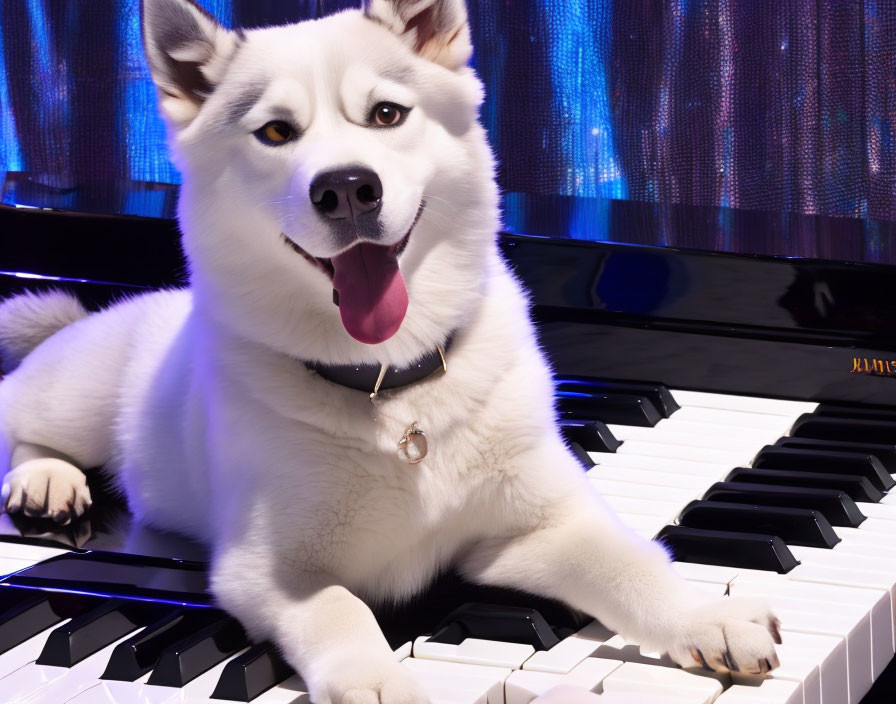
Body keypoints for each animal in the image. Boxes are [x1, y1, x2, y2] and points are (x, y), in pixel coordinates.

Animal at [0, 0, 776, 700]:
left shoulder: (536, 529)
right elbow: (340, 612)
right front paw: (376, 680)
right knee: (22, 417)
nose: (346, 188)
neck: (392, 387)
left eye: (386, 115)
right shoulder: (270, 571)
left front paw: (705, 615)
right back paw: (47, 479)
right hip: (78, 397)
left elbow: (629, 562)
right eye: (275, 131)